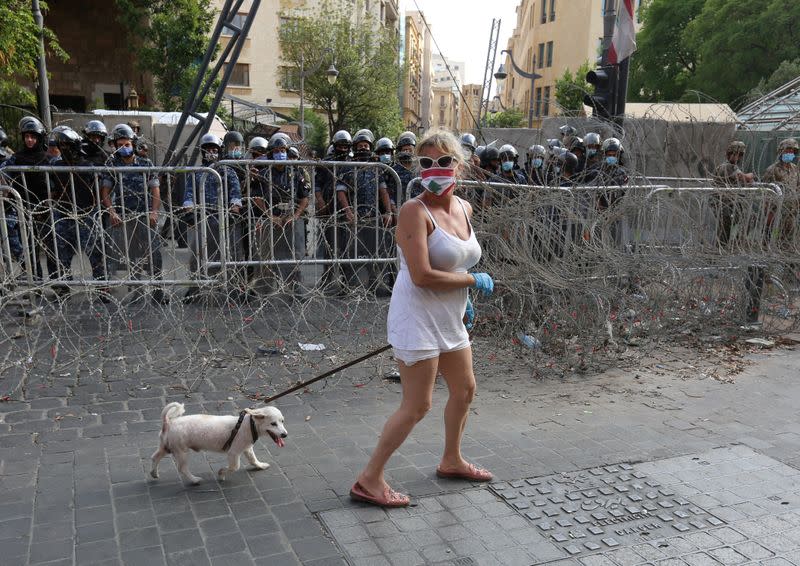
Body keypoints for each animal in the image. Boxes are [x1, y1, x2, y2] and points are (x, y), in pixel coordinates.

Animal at [150, 402, 288, 486]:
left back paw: (154, 473)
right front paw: (221, 473)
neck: (250, 424)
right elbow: (234, 467)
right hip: (181, 451)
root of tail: (168, 422)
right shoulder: (233, 453)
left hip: (165, 447)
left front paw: (260, 466)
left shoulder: (247, 449)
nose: (285, 434)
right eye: (273, 424)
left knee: (155, 457)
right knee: (182, 468)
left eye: (282, 421)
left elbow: (253, 459)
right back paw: (194, 480)